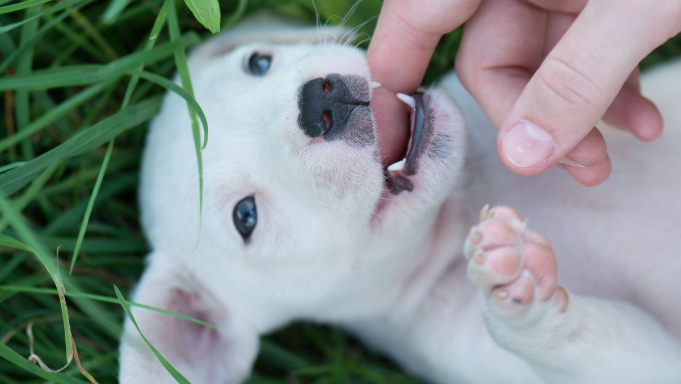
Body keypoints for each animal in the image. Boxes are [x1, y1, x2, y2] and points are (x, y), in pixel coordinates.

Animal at [119, 15, 680, 384]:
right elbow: (602, 342)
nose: (318, 101)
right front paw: (520, 291)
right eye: (246, 216)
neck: (460, 209)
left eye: (258, 61)